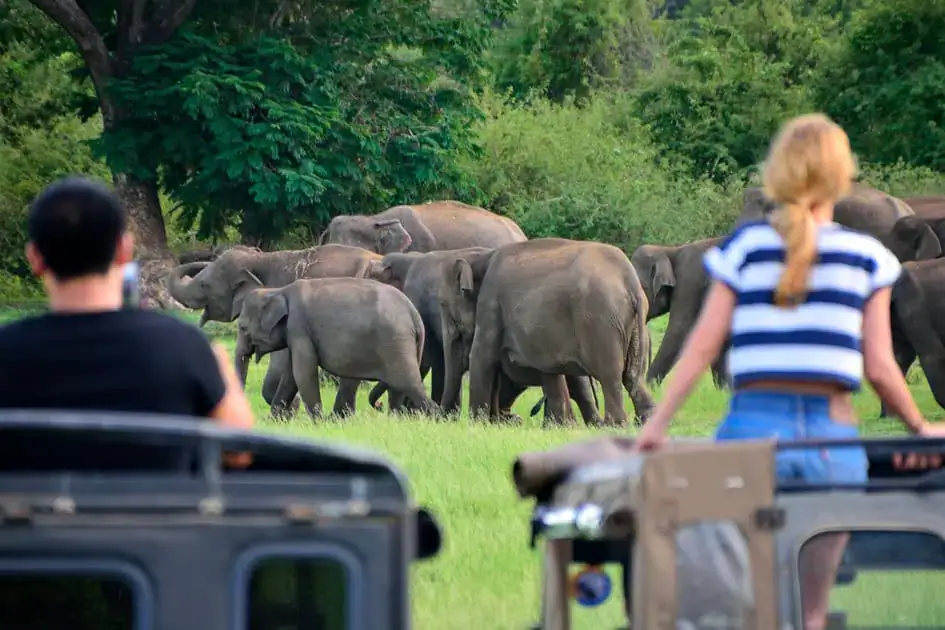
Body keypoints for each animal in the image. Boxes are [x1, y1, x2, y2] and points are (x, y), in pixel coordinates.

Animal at [234, 278, 439, 419]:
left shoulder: (299, 328)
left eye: (242, 327)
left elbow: (303, 372)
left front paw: (318, 421)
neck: (278, 290)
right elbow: (291, 376)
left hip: (395, 341)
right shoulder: (296, 334)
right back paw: (394, 419)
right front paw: (275, 419)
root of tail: (414, 314)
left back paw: (436, 417)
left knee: (408, 382)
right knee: (397, 387)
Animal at [457, 238, 654, 427]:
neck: (484, 257)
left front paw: (477, 425)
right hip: (634, 326)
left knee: (610, 376)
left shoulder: (490, 301)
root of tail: (630, 282)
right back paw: (643, 421)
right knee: (632, 377)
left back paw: (614, 425)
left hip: (600, 321)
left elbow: (481, 356)